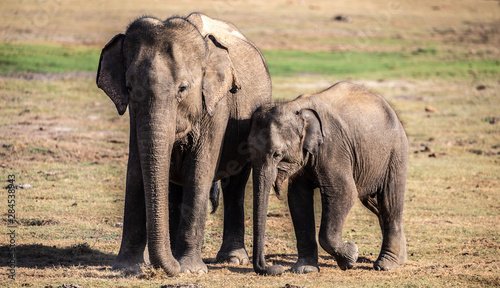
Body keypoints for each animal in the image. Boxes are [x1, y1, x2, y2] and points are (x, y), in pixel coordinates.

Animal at [96, 12, 272, 276]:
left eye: (183, 88)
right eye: (128, 87)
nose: (170, 268)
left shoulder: (216, 108)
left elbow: (199, 173)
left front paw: (190, 271)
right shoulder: (135, 115)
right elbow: (136, 170)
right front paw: (127, 269)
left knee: (236, 183)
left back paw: (231, 259)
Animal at [248, 82, 408, 276]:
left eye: (277, 154)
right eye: (248, 154)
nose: (275, 268)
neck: (295, 107)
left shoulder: (333, 147)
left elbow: (344, 193)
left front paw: (351, 257)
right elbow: (297, 199)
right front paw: (305, 269)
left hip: (396, 152)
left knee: (390, 202)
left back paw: (386, 264)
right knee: (376, 205)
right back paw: (400, 258)